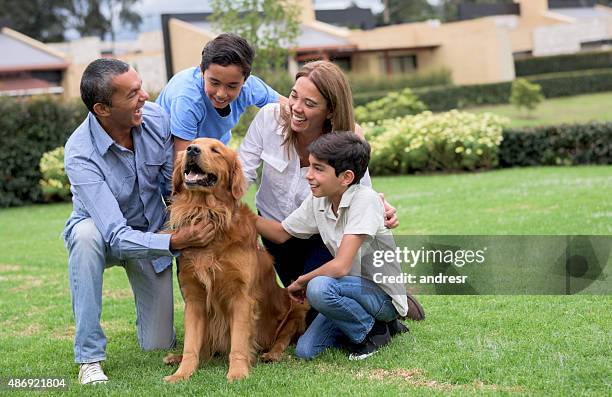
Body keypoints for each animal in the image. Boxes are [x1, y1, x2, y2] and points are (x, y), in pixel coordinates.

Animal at [163, 137, 308, 380]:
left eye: (216, 150)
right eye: (192, 143)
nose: (192, 150)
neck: (206, 210)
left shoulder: (242, 298)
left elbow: (239, 342)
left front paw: (238, 372)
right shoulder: (194, 298)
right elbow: (191, 345)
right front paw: (181, 373)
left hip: (297, 309)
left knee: (282, 339)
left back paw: (272, 354)